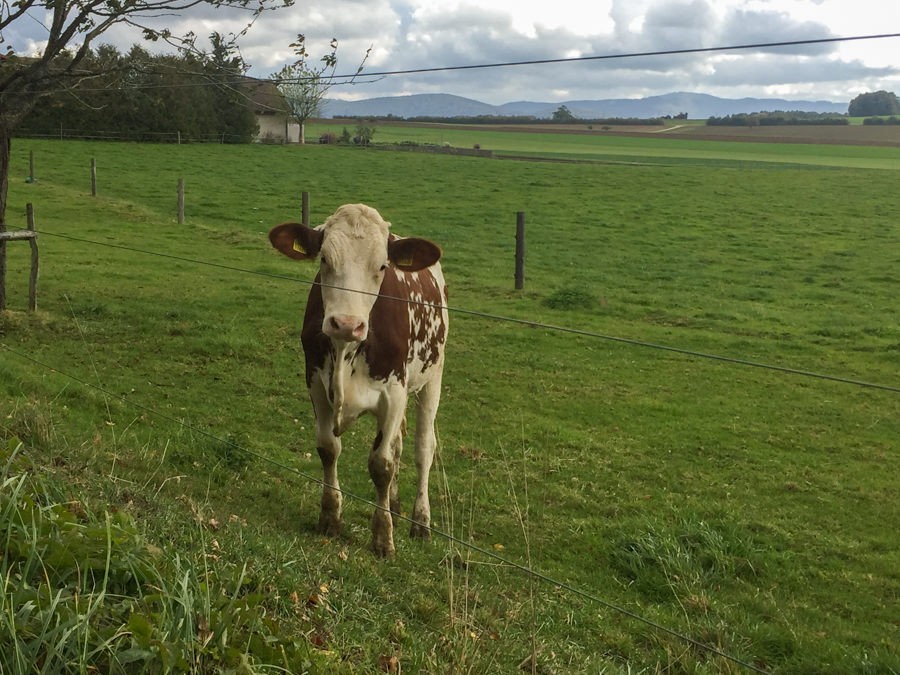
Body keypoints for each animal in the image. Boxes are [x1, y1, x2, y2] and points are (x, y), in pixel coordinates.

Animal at [268, 203, 448, 556]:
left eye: (382, 266)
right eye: (324, 259)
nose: (347, 324)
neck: (346, 350)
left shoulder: (393, 394)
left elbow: (381, 464)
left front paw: (383, 537)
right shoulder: (316, 385)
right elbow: (328, 449)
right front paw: (330, 517)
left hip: (433, 377)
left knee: (423, 448)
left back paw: (421, 520)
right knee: (399, 443)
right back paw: (395, 503)